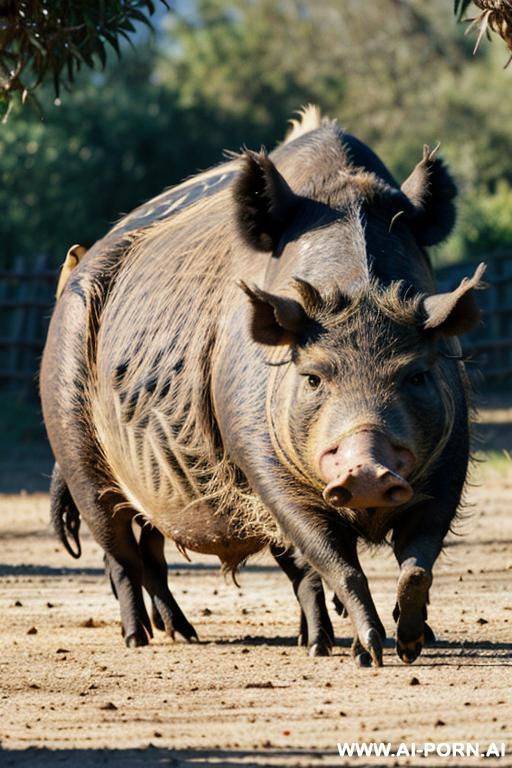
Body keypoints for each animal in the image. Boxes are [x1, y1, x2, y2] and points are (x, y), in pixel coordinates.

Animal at [41, 106, 485, 666]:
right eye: (312, 377)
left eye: (418, 374)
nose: (366, 468)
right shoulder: (260, 458)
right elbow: (334, 560)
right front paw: (368, 653)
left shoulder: (451, 459)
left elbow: (418, 562)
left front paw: (408, 645)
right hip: (74, 442)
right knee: (118, 551)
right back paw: (141, 638)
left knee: (153, 553)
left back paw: (193, 633)